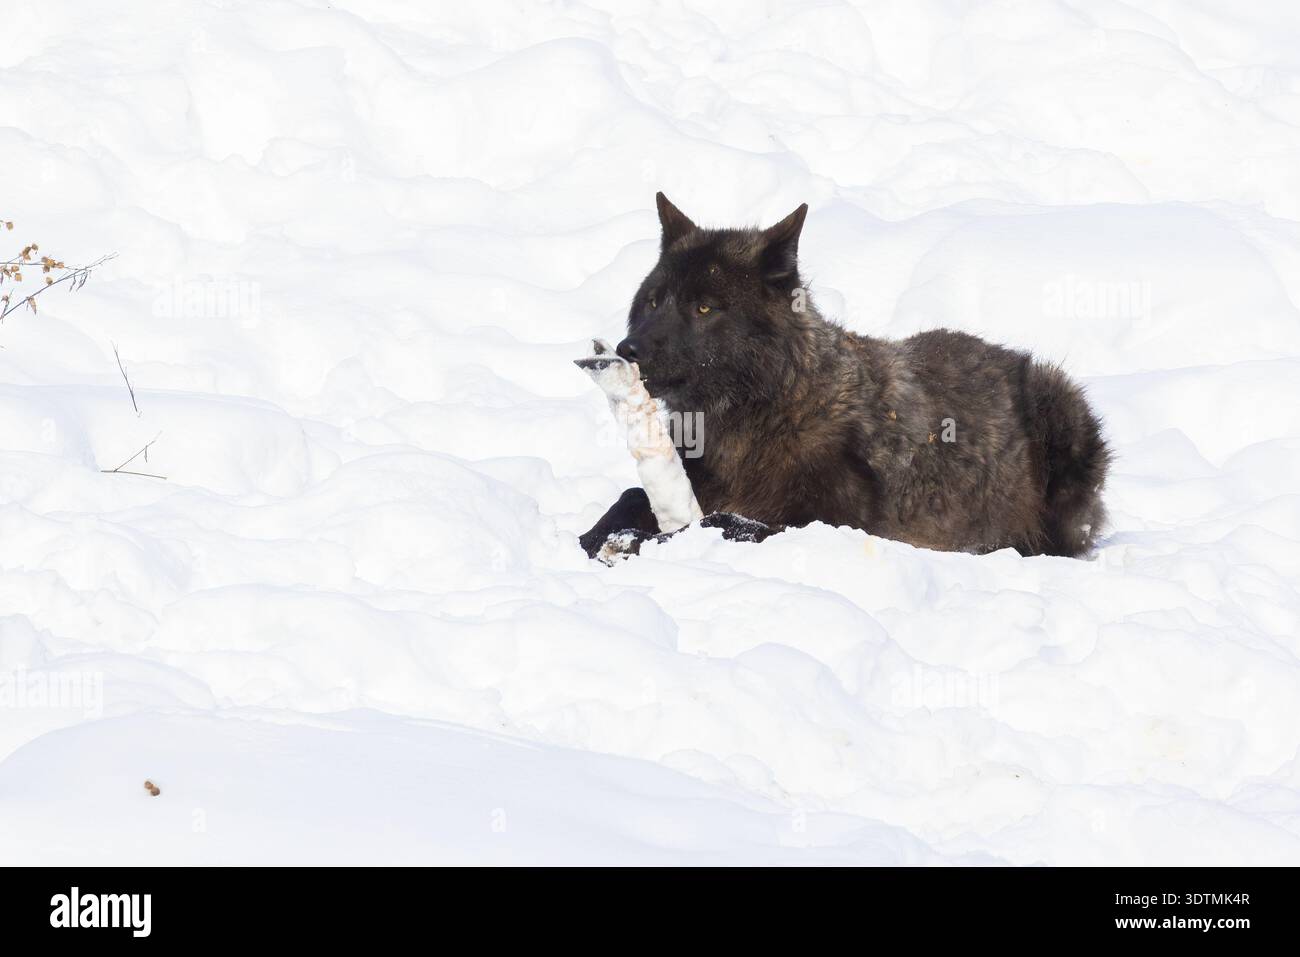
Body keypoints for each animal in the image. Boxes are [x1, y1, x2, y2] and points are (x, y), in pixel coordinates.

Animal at [580, 193, 1110, 560]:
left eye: (704, 307)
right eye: (654, 301)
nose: (627, 349)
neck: (764, 415)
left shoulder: (829, 523)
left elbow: (726, 521)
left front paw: (646, 541)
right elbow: (629, 496)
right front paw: (602, 535)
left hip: (1061, 405)